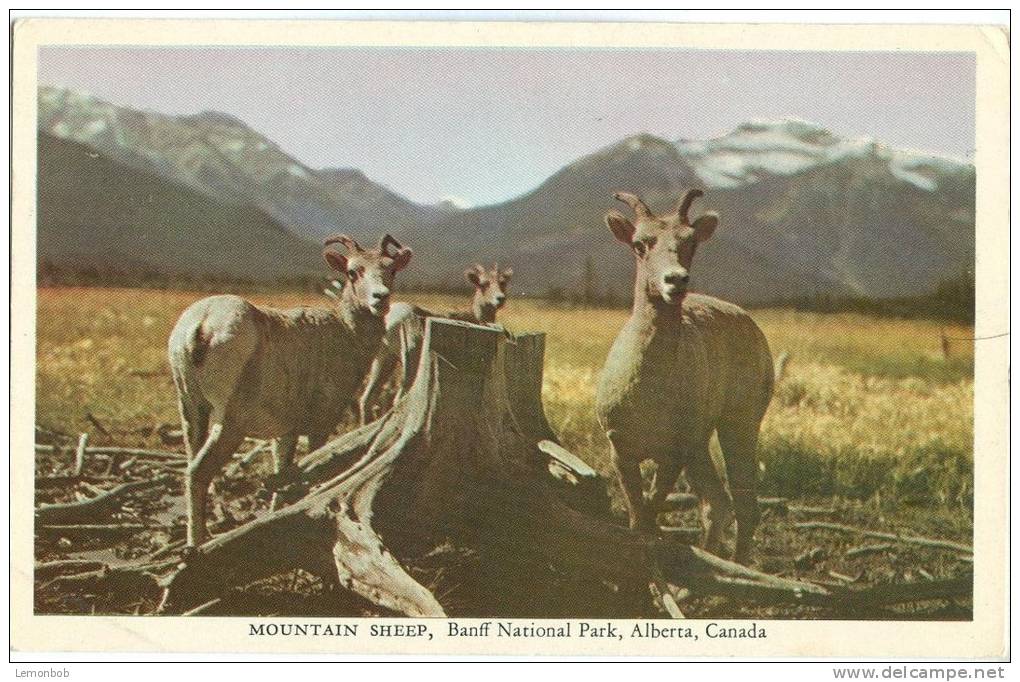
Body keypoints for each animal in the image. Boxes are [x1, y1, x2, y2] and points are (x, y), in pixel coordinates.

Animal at [165, 231, 412, 546]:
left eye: (391, 269)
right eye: (353, 271)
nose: (380, 298)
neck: (345, 333)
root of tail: (202, 325)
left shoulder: (284, 432)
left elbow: (280, 472)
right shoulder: (320, 425)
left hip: (191, 408)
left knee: (190, 463)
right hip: (230, 423)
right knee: (198, 471)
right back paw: (198, 543)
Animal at [361, 263, 518, 422]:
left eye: (502, 282)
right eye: (483, 283)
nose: (500, 298)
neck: (474, 317)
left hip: (384, 359)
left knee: (367, 399)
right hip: (409, 360)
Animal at [591, 188, 771, 562]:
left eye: (690, 242)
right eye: (639, 243)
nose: (675, 280)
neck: (646, 394)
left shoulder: (672, 455)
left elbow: (648, 515)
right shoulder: (621, 450)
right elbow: (638, 517)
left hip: (740, 424)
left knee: (742, 504)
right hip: (702, 444)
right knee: (717, 503)